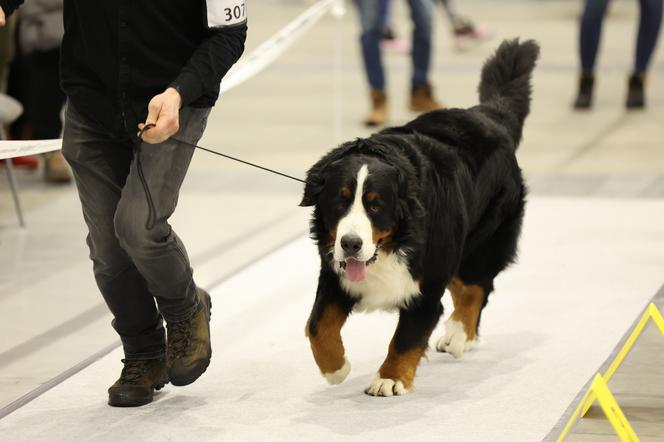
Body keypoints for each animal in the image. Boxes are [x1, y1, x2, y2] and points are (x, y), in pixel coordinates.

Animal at [300, 38, 540, 398]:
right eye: (339, 201)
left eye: (375, 206)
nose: (351, 243)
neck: (391, 246)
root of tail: (489, 116)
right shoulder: (334, 273)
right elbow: (318, 324)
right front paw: (335, 368)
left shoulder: (425, 285)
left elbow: (407, 337)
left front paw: (389, 378)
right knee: (465, 287)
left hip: (477, 243)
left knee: (477, 288)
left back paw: (458, 334)